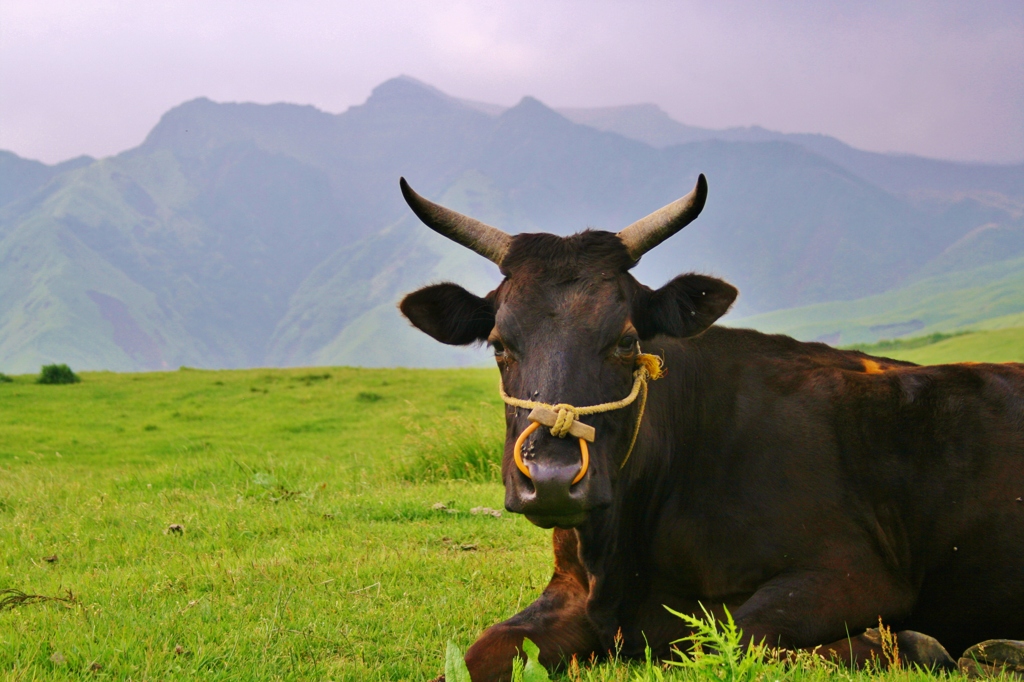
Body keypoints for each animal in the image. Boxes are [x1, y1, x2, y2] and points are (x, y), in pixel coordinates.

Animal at [393, 173, 1024, 675]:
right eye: (500, 343)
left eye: (627, 340)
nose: (549, 479)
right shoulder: (571, 591)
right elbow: (482, 650)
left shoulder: (855, 570)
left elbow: (732, 639)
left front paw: (923, 644)